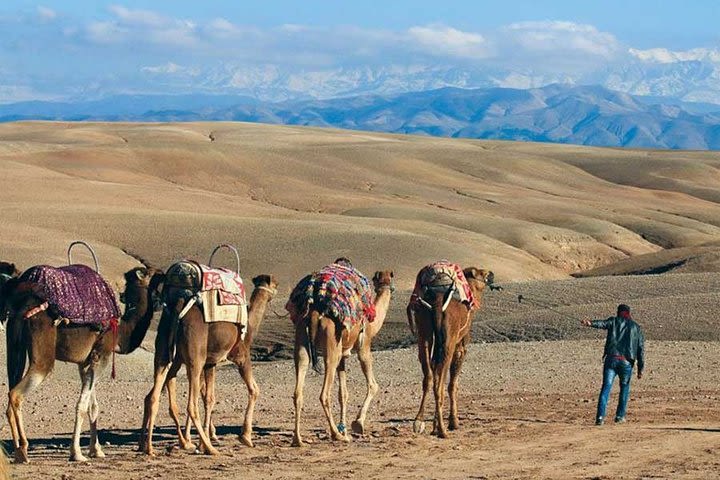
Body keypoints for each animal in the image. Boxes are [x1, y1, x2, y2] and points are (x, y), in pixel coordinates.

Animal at [1, 264, 162, 464]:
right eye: (149, 272)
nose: (162, 273)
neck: (121, 331)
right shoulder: (102, 354)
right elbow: (82, 406)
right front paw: (77, 453)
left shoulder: (85, 361)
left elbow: (93, 406)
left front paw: (96, 450)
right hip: (43, 354)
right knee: (16, 394)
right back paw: (23, 449)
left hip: (15, 347)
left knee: (11, 392)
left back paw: (17, 451)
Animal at [141, 274, 278, 454]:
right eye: (275, 284)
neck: (249, 327)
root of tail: (178, 308)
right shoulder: (241, 356)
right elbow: (254, 390)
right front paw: (245, 437)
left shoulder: (210, 363)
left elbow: (209, 398)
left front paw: (203, 438)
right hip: (194, 359)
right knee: (190, 405)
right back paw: (209, 448)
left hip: (165, 352)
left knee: (154, 395)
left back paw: (149, 447)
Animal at [292, 270, 396, 446]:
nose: (389, 287)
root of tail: (314, 313)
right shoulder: (364, 347)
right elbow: (373, 385)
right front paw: (357, 424)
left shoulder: (342, 357)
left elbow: (343, 394)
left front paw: (345, 428)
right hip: (331, 346)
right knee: (324, 394)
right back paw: (336, 435)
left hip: (302, 340)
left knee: (298, 390)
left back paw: (298, 440)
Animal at [410, 266, 496, 438]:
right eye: (481, 273)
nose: (491, 274)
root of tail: (437, 305)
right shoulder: (460, 345)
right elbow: (452, 384)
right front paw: (453, 422)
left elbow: (436, 374)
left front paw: (434, 425)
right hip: (448, 340)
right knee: (440, 383)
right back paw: (443, 431)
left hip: (424, 332)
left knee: (429, 377)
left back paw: (419, 422)